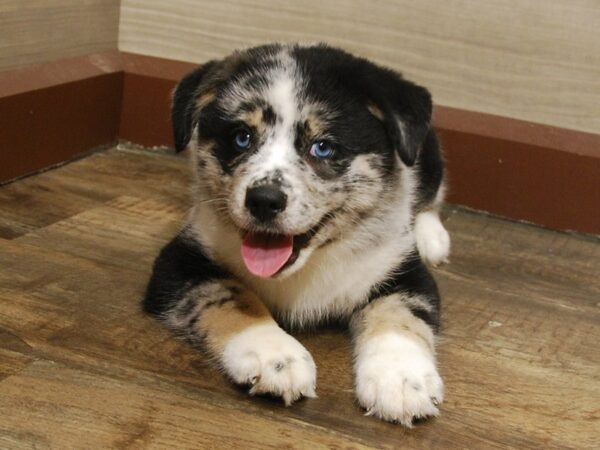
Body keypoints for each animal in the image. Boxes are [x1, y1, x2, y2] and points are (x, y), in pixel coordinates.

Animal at [144, 44, 450, 428]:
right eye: (241, 138)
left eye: (323, 147)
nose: (263, 200)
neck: (308, 265)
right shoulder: (180, 260)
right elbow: (229, 294)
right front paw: (274, 355)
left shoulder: (402, 269)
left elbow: (400, 314)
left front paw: (401, 379)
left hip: (427, 157)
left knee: (430, 195)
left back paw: (431, 236)